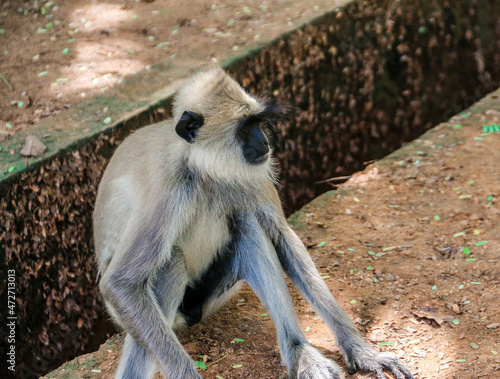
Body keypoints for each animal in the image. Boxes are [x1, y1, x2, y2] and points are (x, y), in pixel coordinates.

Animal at [94, 68, 414, 379]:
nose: (264, 142)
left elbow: (282, 237)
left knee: (248, 227)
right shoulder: (168, 183)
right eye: (246, 129)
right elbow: (121, 283)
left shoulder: (252, 170)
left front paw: (361, 351)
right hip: (151, 316)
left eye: (258, 123)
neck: (204, 167)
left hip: (216, 295)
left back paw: (300, 353)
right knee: (169, 264)